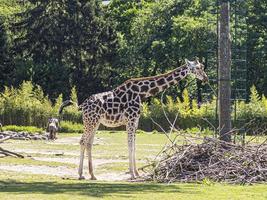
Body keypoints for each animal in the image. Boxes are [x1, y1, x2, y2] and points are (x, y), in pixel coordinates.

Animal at [59, 57, 209, 180]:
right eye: (197, 68)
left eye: (202, 66)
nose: (205, 78)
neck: (143, 93)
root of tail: (82, 105)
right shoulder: (130, 120)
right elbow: (130, 145)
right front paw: (132, 174)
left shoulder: (136, 120)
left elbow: (135, 146)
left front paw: (137, 173)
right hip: (90, 121)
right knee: (82, 141)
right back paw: (81, 174)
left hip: (95, 122)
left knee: (89, 143)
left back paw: (93, 175)